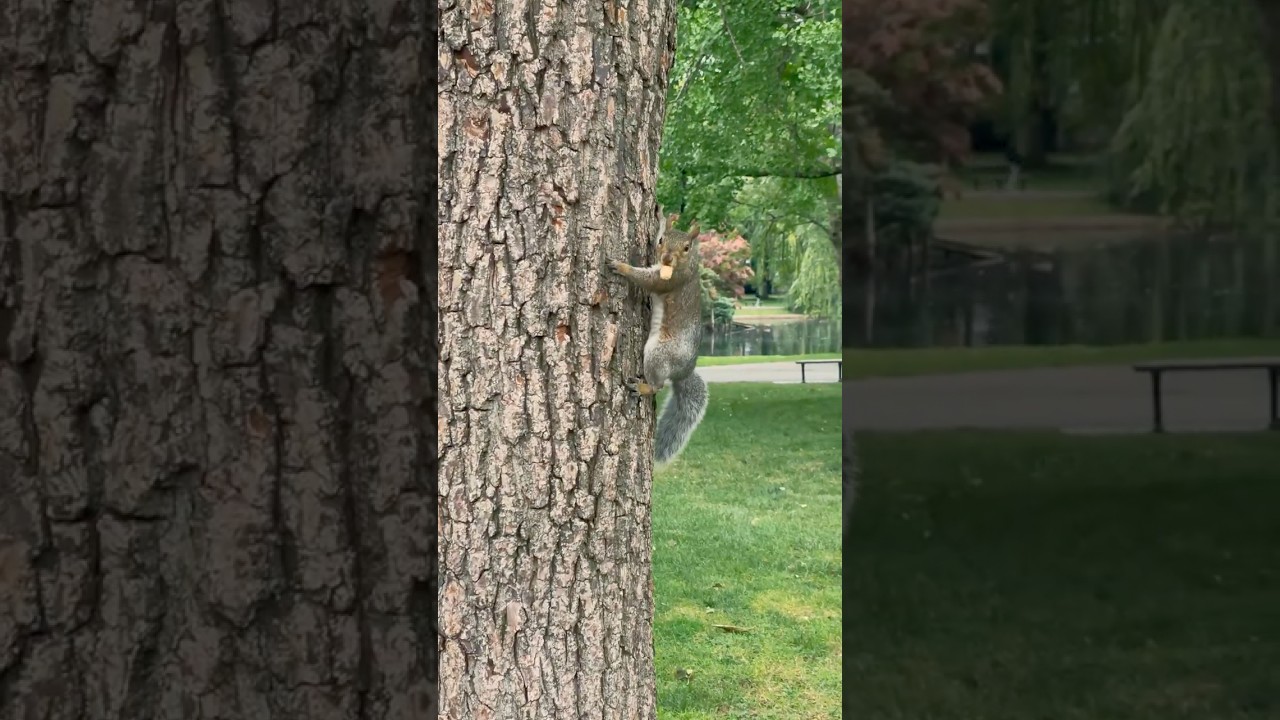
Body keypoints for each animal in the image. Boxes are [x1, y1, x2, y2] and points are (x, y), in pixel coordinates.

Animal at [609, 211, 709, 466]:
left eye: (686, 247)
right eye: (662, 240)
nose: (666, 258)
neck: (689, 265)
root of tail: (682, 372)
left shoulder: (669, 280)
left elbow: (647, 280)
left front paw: (622, 267)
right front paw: (664, 215)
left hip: (658, 353)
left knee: (659, 385)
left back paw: (643, 387)